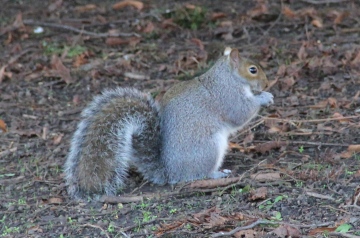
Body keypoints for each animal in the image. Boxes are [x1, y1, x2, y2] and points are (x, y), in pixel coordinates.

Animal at [64, 46, 272, 199]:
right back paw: (217, 174)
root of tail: (169, 172)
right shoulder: (228, 96)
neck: (227, 76)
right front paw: (264, 97)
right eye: (253, 70)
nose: (266, 83)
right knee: (196, 175)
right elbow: (240, 114)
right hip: (208, 148)